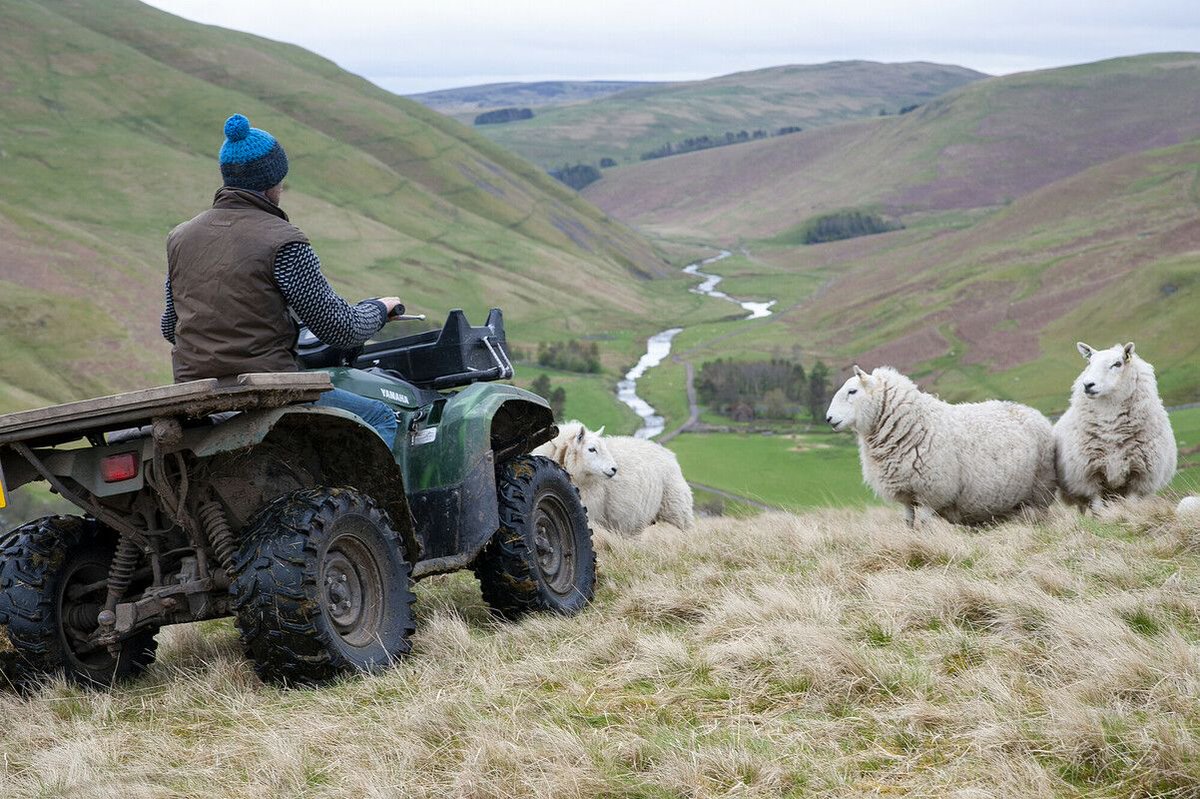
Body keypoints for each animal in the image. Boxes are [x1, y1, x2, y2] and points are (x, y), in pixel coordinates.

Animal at [820, 364, 1056, 525]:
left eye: (852, 391)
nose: (829, 419)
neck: (914, 424)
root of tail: (1033, 412)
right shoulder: (906, 494)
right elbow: (908, 522)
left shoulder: (931, 491)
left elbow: (924, 524)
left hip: (1040, 491)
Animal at [1056, 338, 1176, 511]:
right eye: (1089, 362)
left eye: (1117, 364)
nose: (1088, 385)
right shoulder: (1090, 477)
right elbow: (1098, 509)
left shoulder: (1139, 476)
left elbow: (1131, 505)